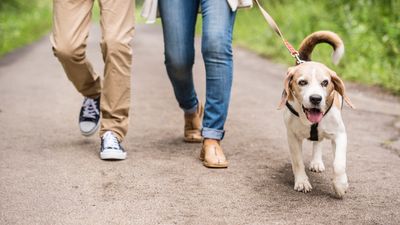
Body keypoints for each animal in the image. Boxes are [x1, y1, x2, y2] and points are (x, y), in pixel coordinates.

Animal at [278, 30, 356, 198]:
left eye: (325, 82)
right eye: (302, 82)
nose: (315, 98)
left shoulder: (340, 135)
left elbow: (339, 164)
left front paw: (340, 184)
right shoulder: (292, 136)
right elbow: (297, 161)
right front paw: (301, 182)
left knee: (318, 142)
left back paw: (316, 162)